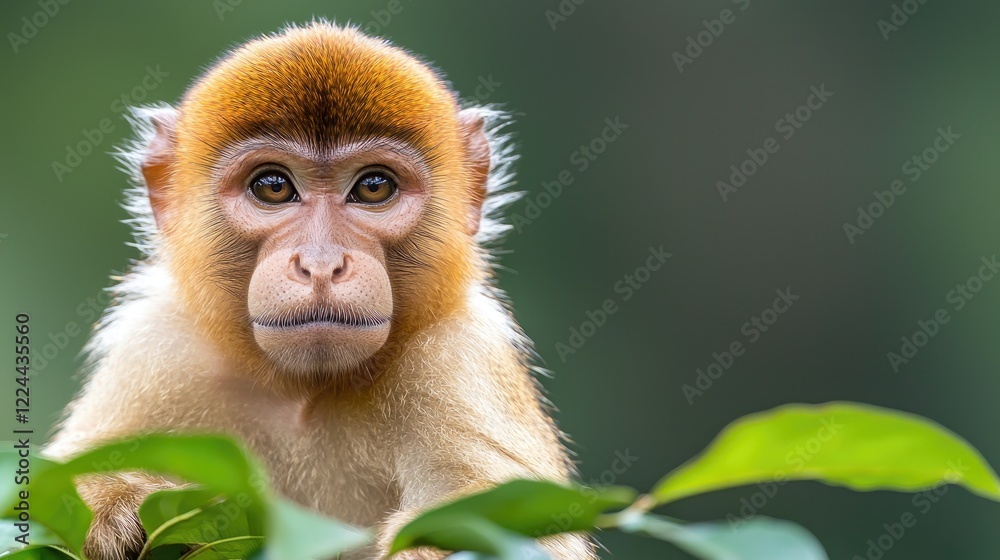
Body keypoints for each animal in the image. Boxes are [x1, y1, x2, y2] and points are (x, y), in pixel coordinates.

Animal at [43, 22, 596, 560]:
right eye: (272, 186)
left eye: (374, 187)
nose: (322, 263)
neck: (305, 394)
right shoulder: (157, 350)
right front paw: (119, 505)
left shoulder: (457, 358)